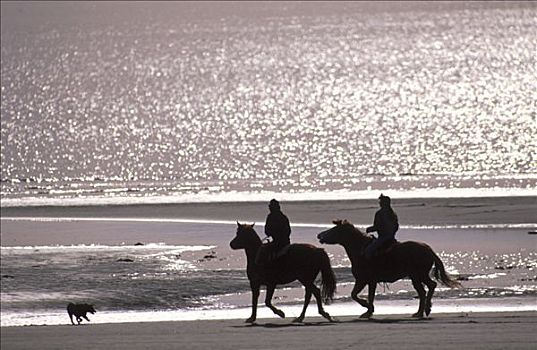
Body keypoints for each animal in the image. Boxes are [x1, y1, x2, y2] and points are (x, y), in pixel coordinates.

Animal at [318, 220, 460, 318]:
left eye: (334, 230)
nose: (319, 235)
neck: (360, 250)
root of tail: (429, 250)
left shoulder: (365, 280)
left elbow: (358, 295)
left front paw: (367, 308)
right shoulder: (367, 281)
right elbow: (362, 295)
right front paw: (368, 310)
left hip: (418, 275)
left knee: (429, 287)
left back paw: (424, 310)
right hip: (416, 277)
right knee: (424, 291)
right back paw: (421, 311)